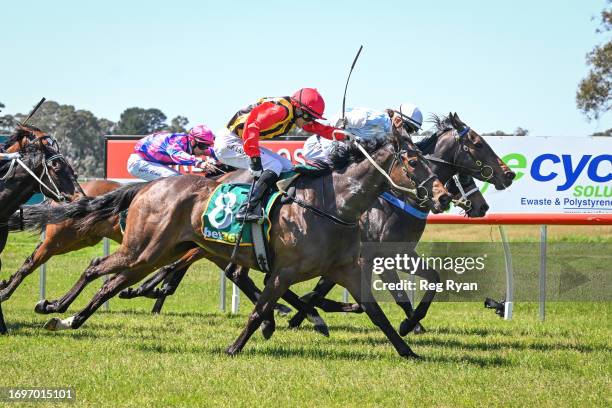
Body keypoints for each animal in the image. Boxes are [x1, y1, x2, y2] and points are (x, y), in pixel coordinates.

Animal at [21, 133, 450, 356]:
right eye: (414, 162)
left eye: (427, 160)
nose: (443, 196)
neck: (334, 206)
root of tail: (144, 188)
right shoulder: (283, 271)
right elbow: (259, 309)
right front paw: (236, 347)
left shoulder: (348, 268)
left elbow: (376, 313)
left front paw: (408, 350)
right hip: (141, 249)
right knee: (96, 269)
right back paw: (55, 309)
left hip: (156, 253)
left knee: (111, 283)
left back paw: (69, 318)